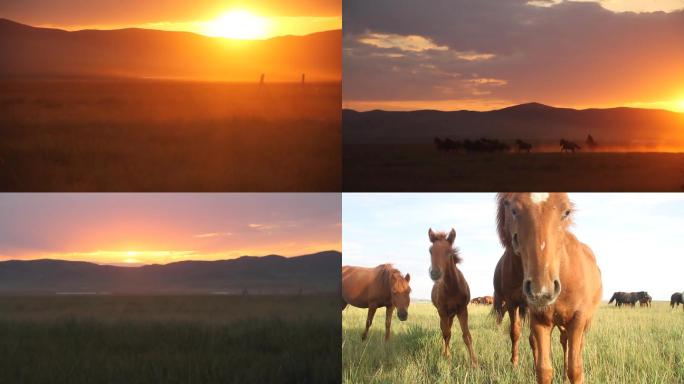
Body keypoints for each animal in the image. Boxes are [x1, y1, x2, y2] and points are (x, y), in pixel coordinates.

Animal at [424, 228, 478, 366]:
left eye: (449, 251)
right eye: (430, 251)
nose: (435, 273)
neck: (453, 288)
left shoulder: (462, 309)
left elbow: (467, 336)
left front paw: (474, 363)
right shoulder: (442, 310)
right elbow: (446, 333)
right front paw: (447, 356)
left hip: (452, 314)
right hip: (444, 314)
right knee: (445, 330)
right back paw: (445, 352)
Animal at [494, 195, 600, 384]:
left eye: (566, 212)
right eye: (513, 210)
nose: (541, 290)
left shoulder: (578, 319)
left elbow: (576, 369)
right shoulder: (539, 320)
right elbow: (544, 370)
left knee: (576, 345)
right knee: (563, 341)